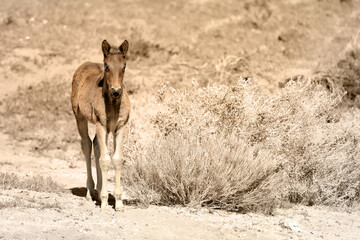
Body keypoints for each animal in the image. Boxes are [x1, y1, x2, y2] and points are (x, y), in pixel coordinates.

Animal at [71, 39, 130, 210]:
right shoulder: (101, 125)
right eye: (107, 66)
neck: (113, 105)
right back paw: (90, 192)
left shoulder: (121, 126)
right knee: (87, 144)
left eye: (124, 66)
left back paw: (98, 190)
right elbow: (105, 160)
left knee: (97, 145)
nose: (116, 91)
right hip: (79, 117)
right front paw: (104, 202)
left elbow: (116, 159)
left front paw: (118, 202)